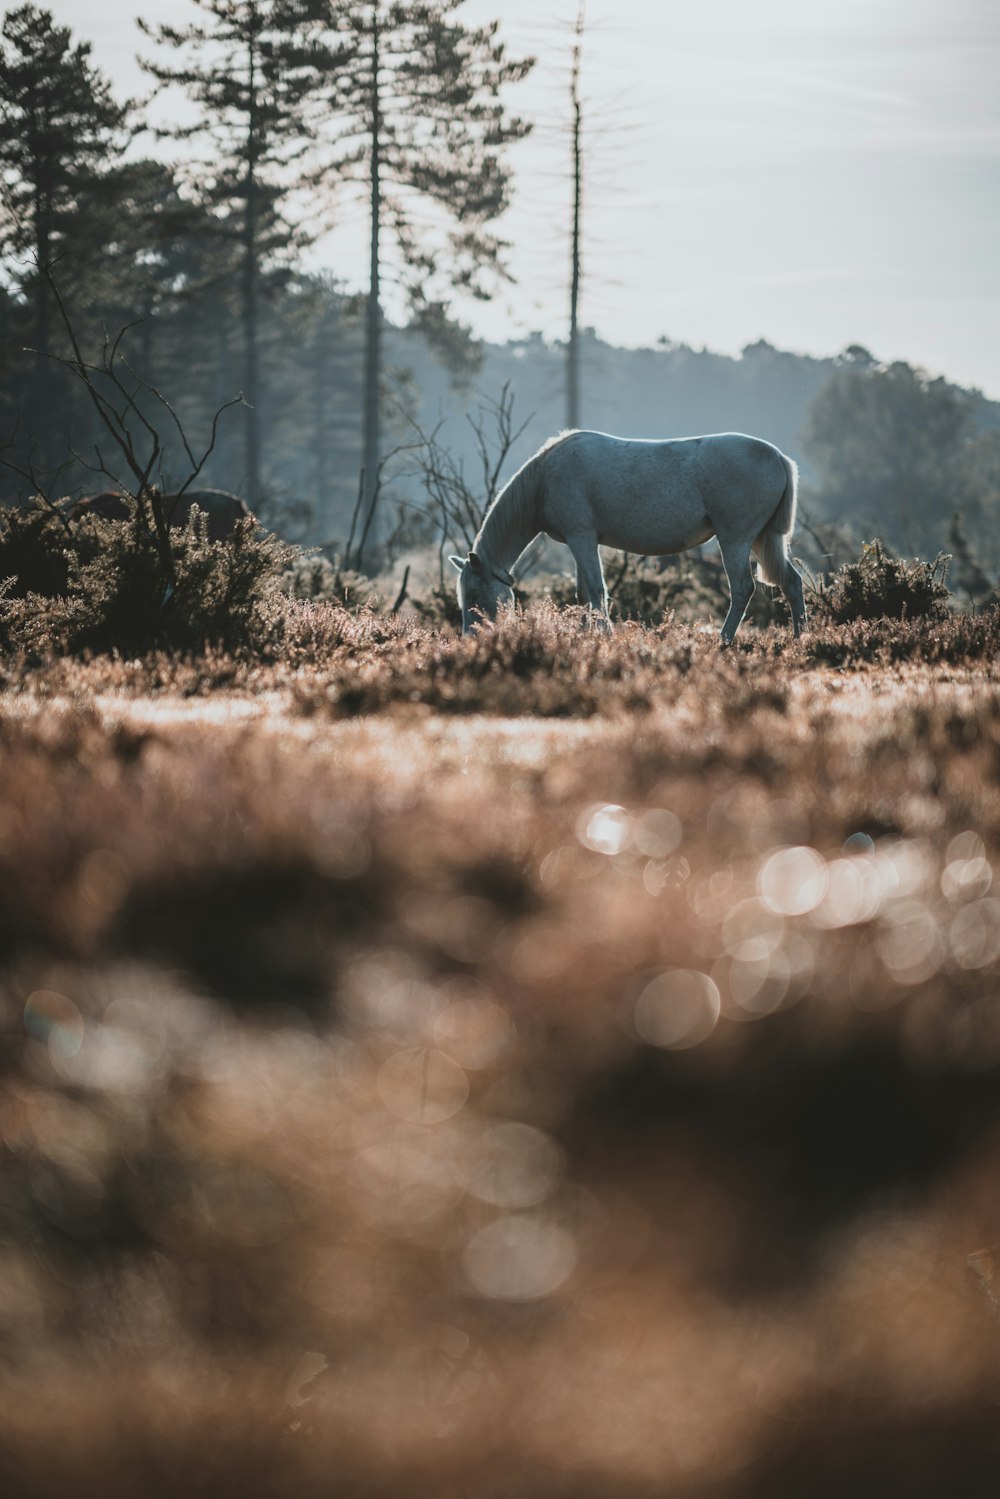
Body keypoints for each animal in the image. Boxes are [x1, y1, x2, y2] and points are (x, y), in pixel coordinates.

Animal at [449, 434, 809, 644]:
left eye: (475, 594)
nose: (469, 639)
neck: (545, 478)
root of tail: (779, 457)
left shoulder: (582, 537)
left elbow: (596, 590)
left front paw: (605, 635)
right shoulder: (578, 542)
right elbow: (584, 593)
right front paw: (585, 635)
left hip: (735, 539)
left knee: (742, 589)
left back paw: (723, 640)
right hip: (763, 539)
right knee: (791, 582)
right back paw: (799, 638)